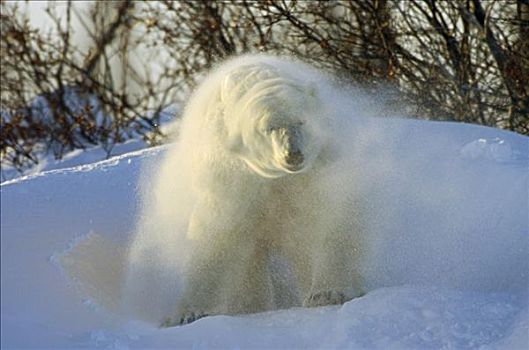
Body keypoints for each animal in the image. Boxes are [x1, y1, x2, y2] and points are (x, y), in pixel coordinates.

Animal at [163, 54, 366, 326]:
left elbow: (331, 219)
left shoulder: (320, 171)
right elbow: (216, 235)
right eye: (270, 127)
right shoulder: (233, 177)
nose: (294, 154)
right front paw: (188, 314)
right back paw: (253, 306)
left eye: (301, 120)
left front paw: (327, 294)